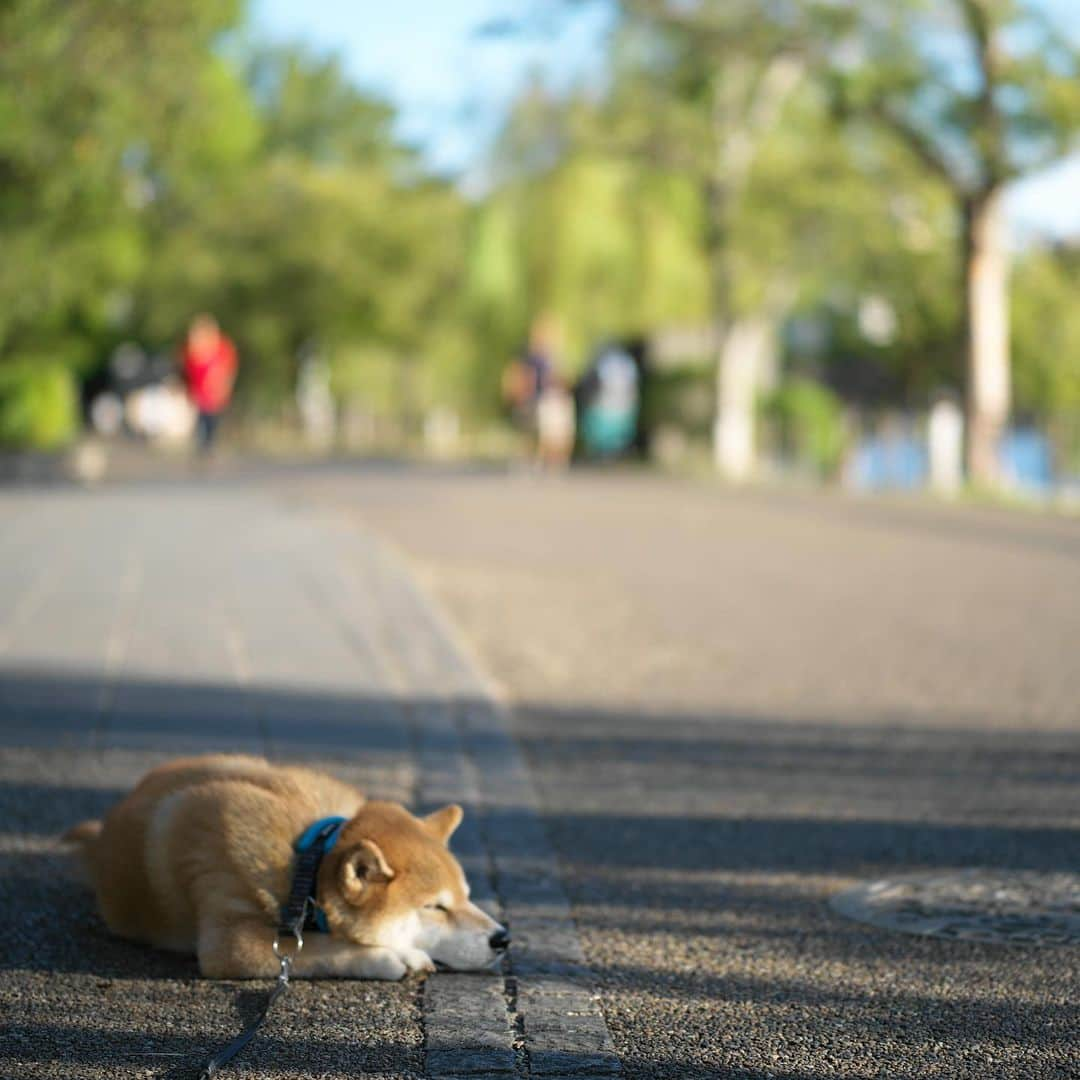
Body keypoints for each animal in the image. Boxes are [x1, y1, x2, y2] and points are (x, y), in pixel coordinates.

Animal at [61, 756, 507, 984]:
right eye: (435, 907)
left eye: (468, 896)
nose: (503, 938)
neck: (306, 862)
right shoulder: (231, 941)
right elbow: (320, 947)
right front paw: (395, 955)